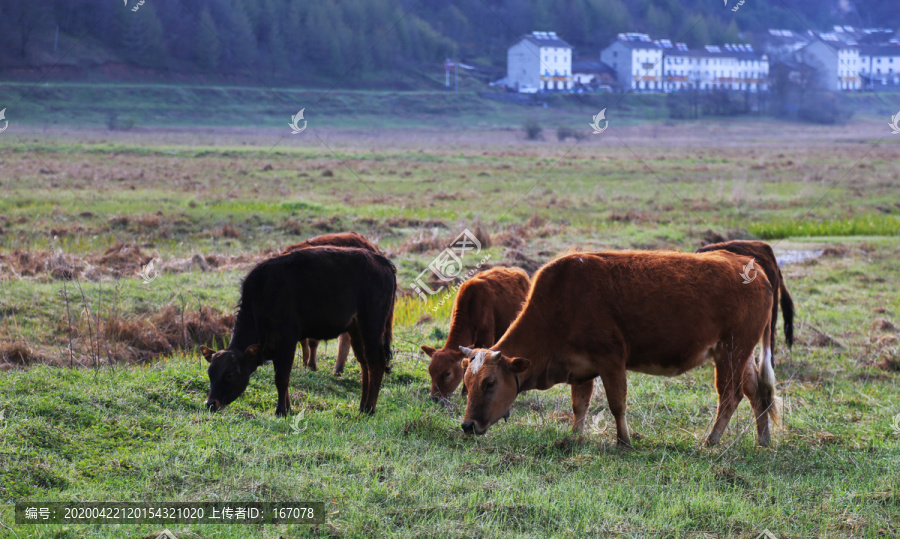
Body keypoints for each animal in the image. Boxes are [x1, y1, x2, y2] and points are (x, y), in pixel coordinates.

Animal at [202, 247, 396, 416]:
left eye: (230, 375)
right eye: (210, 373)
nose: (211, 403)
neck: (261, 297)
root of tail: (381, 261)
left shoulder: (287, 341)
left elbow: (281, 378)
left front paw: (281, 411)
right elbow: (283, 378)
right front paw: (287, 408)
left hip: (371, 325)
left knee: (376, 363)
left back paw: (369, 409)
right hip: (356, 329)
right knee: (364, 364)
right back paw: (362, 406)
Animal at [282, 232, 380, 376]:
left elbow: (312, 341)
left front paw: (311, 365)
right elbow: (303, 341)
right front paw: (306, 362)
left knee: (345, 339)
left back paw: (338, 369)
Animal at [460, 251, 776, 450]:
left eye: (490, 383)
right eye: (467, 384)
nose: (467, 425)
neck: (558, 307)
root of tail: (755, 270)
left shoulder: (611, 361)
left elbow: (617, 404)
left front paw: (623, 442)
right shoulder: (581, 369)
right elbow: (580, 405)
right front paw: (574, 438)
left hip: (731, 352)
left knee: (730, 395)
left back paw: (711, 439)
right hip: (740, 354)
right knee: (756, 392)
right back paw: (763, 439)